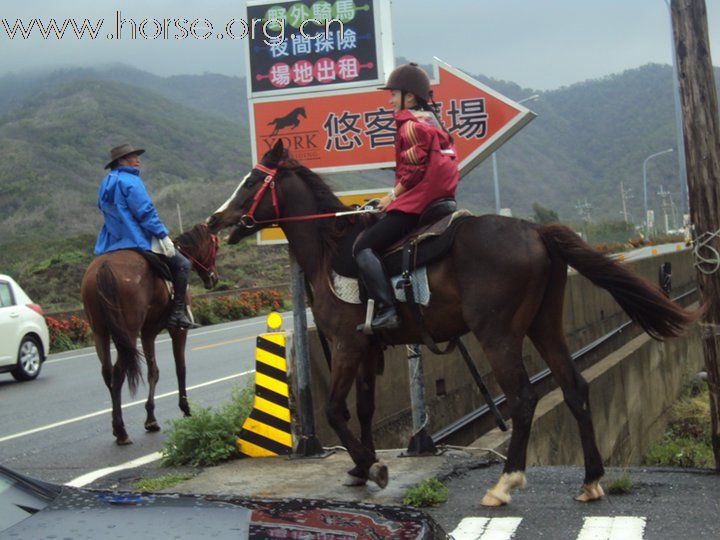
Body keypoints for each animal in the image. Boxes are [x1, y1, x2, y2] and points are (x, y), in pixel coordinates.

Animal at [80, 226, 218, 446]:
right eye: (216, 246)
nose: (214, 278)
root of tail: (103, 266)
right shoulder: (178, 330)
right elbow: (180, 368)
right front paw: (185, 408)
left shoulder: (148, 333)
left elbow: (154, 371)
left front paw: (151, 418)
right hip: (128, 333)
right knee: (118, 372)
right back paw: (121, 431)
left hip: (100, 332)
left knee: (108, 373)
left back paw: (116, 426)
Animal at [207, 140, 696, 506]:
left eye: (251, 181)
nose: (214, 219)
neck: (332, 250)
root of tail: (536, 232)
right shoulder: (367, 348)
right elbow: (363, 411)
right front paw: (360, 466)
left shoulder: (347, 344)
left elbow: (334, 409)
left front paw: (373, 466)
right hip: (544, 326)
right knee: (574, 387)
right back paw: (591, 479)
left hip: (498, 334)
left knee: (523, 398)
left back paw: (505, 482)